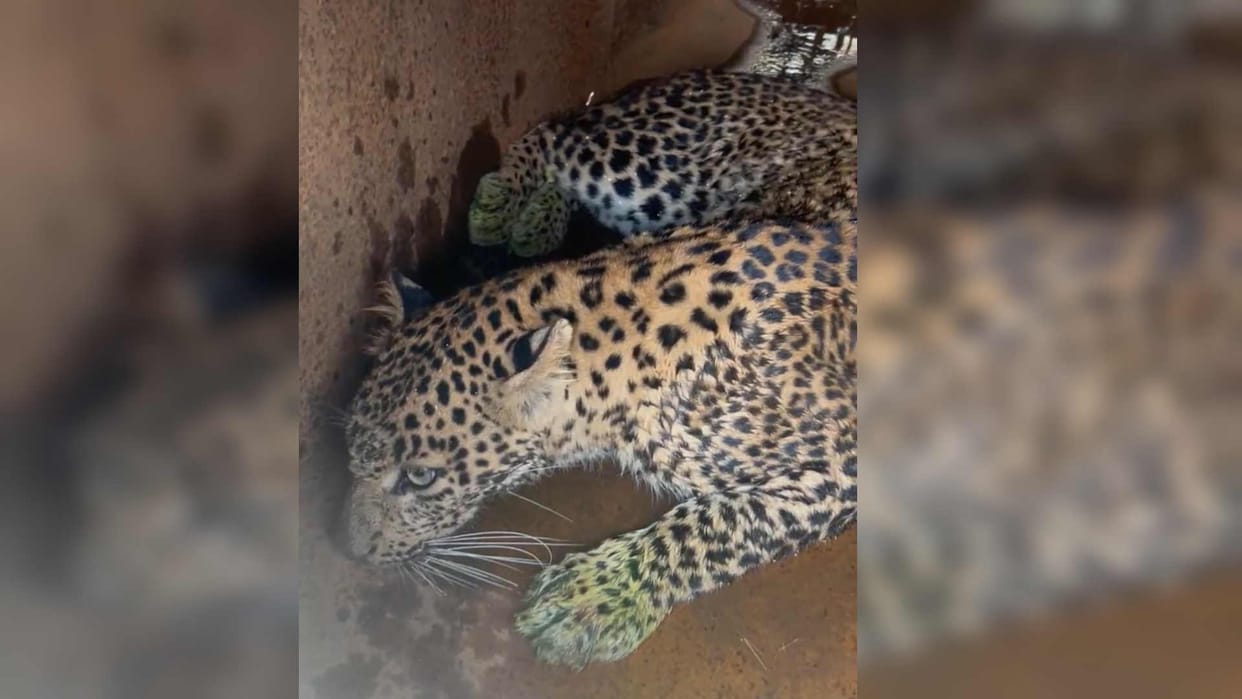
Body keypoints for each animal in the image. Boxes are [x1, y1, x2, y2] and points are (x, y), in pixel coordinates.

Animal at [341, 218, 857, 667]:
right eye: (350, 446)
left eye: (420, 477)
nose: (352, 550)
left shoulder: (840, 459)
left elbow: (722, 523)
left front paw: (587, 600)